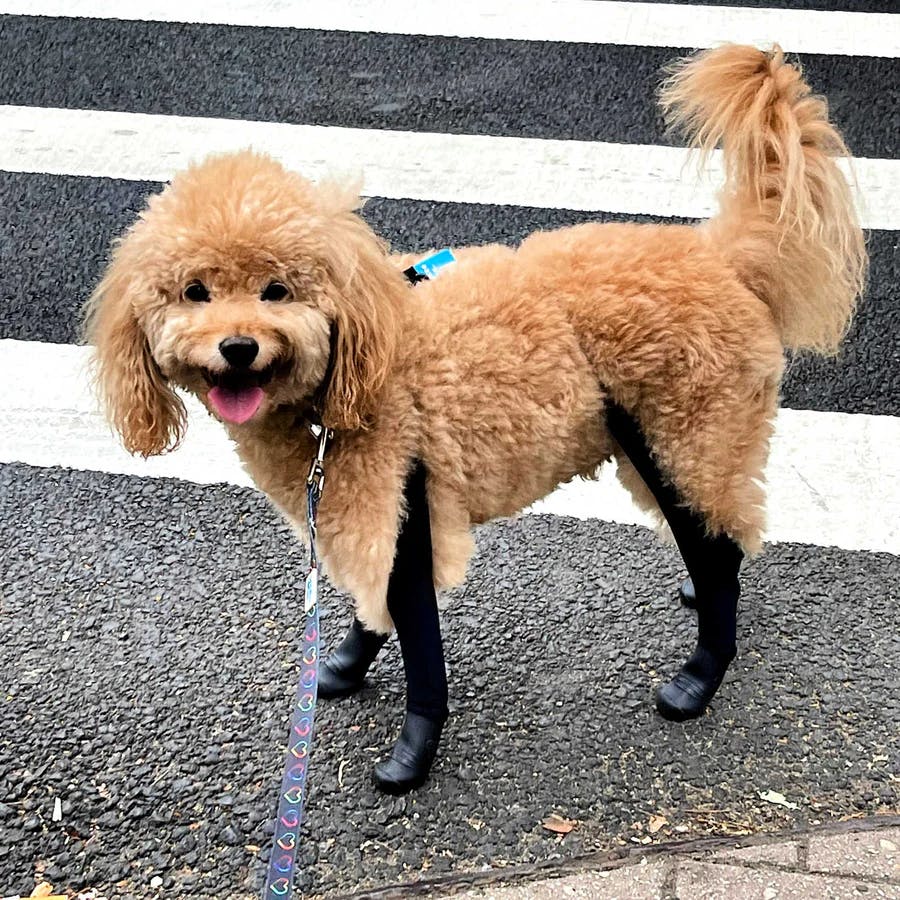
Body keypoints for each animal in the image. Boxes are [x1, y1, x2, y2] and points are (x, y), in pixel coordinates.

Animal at [84, 47, 864, 796]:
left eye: (278, 289)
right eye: (195, 291)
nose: (239, 348)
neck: (338, 389)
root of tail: (724, 259)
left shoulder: (401, 504)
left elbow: (420, 649)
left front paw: (411, 756)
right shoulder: (366, 509)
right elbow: (372, 612)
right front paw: (344, 667)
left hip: (682, 435)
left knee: (718, 548)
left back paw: (701, 676)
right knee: (725, 536)